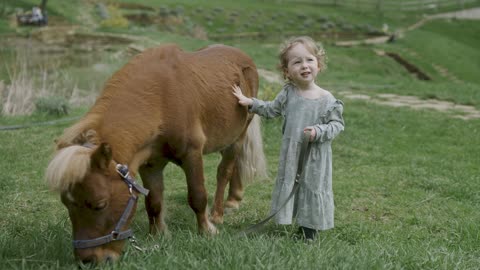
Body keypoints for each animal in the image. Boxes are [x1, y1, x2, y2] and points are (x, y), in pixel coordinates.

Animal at [46, 44, 266, 264]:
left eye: (100, 205)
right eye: (66, 204)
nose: (88, 260)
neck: (161, 99)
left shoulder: (192, 154)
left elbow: (197, 196)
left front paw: (206, 231)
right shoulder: (150, 163)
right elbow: (154, 201)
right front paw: (157, 235)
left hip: (237, 137)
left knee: (224, 171)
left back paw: (219, 212)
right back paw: (234, 199)